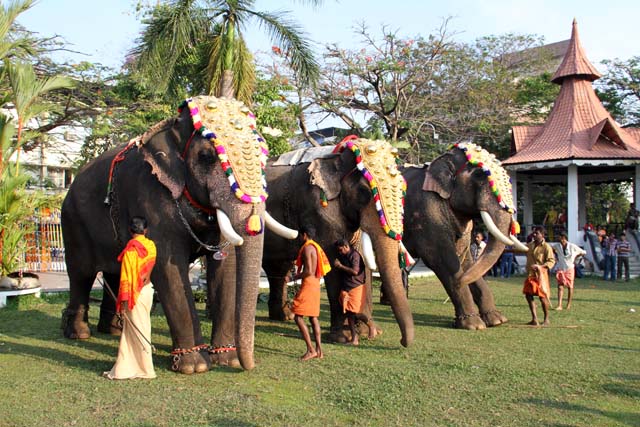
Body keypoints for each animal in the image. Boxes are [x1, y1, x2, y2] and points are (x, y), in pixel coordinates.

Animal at [60, 96, 297, 374]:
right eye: (206, 156)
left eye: (264, 155)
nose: (247, 365)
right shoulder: (150, 193)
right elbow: (169, 268)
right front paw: (195, 366)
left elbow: (226, 269)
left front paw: (227, 360)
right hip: (72, 221)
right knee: (81, 274)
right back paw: (78, 333)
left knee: (113, 272)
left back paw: (113, 330)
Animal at [257, 137, 414, 347]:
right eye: (364, 192)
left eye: (404, 189)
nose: (403, 342)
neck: (336, 156)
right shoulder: (318, 208)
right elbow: (332, 261)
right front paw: (342, 337)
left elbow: (361, 260)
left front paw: (367, 332)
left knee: (278, 267)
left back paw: (285, 316)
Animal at [402, 142, 528, 330]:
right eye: (479, 175)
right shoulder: (425, 211)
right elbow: (442, 259)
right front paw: (473, 325)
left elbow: (466, 261)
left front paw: (497, 320)